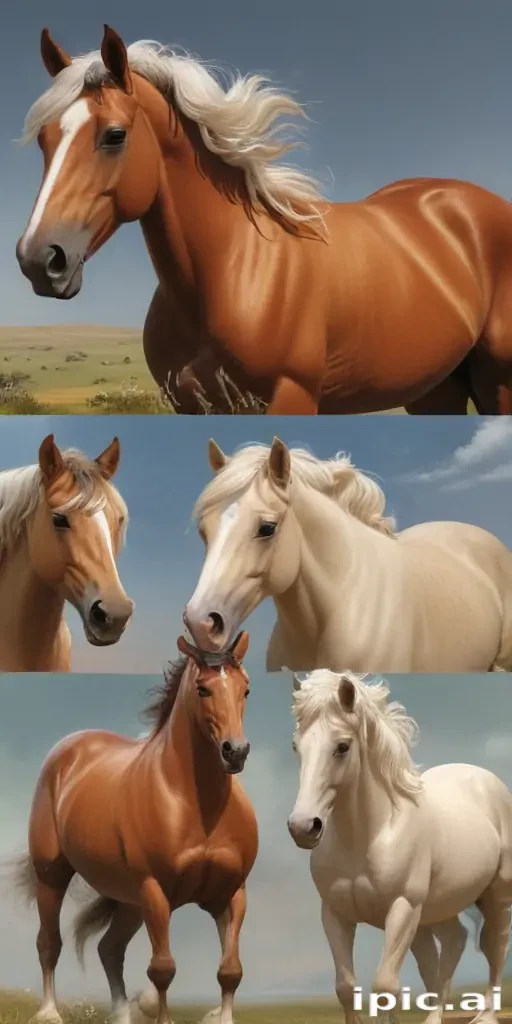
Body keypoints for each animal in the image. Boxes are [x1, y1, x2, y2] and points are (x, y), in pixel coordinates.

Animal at [13, 630, 257, 1024]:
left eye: (245, 689)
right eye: (203, 689)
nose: (235, 752)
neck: (196, 807)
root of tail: (69, 748)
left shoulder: (232, 894)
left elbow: (230, 970)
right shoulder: (155, 891)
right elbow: (163, 968)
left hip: (129, 900)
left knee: (109, 948)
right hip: (52, 877)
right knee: (49, 942)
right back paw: (49, 1012)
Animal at [15, 25, 512, 416]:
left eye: (114, 135)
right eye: (45, 138)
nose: (39, 259)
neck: (232, 268)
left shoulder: (291, 396)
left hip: (497, 380)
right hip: (435, 388)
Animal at [287, 669, 512, 1024]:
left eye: (342, 746)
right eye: (297, 746)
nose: (303, 827)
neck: (368, 836)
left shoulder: (403, 909)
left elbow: (384, 986)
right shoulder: (335, 914)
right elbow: (346, 987)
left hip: (495, 896)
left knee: (497, 947)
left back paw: (485, 1015)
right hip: (435, 912)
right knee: (452, 945)